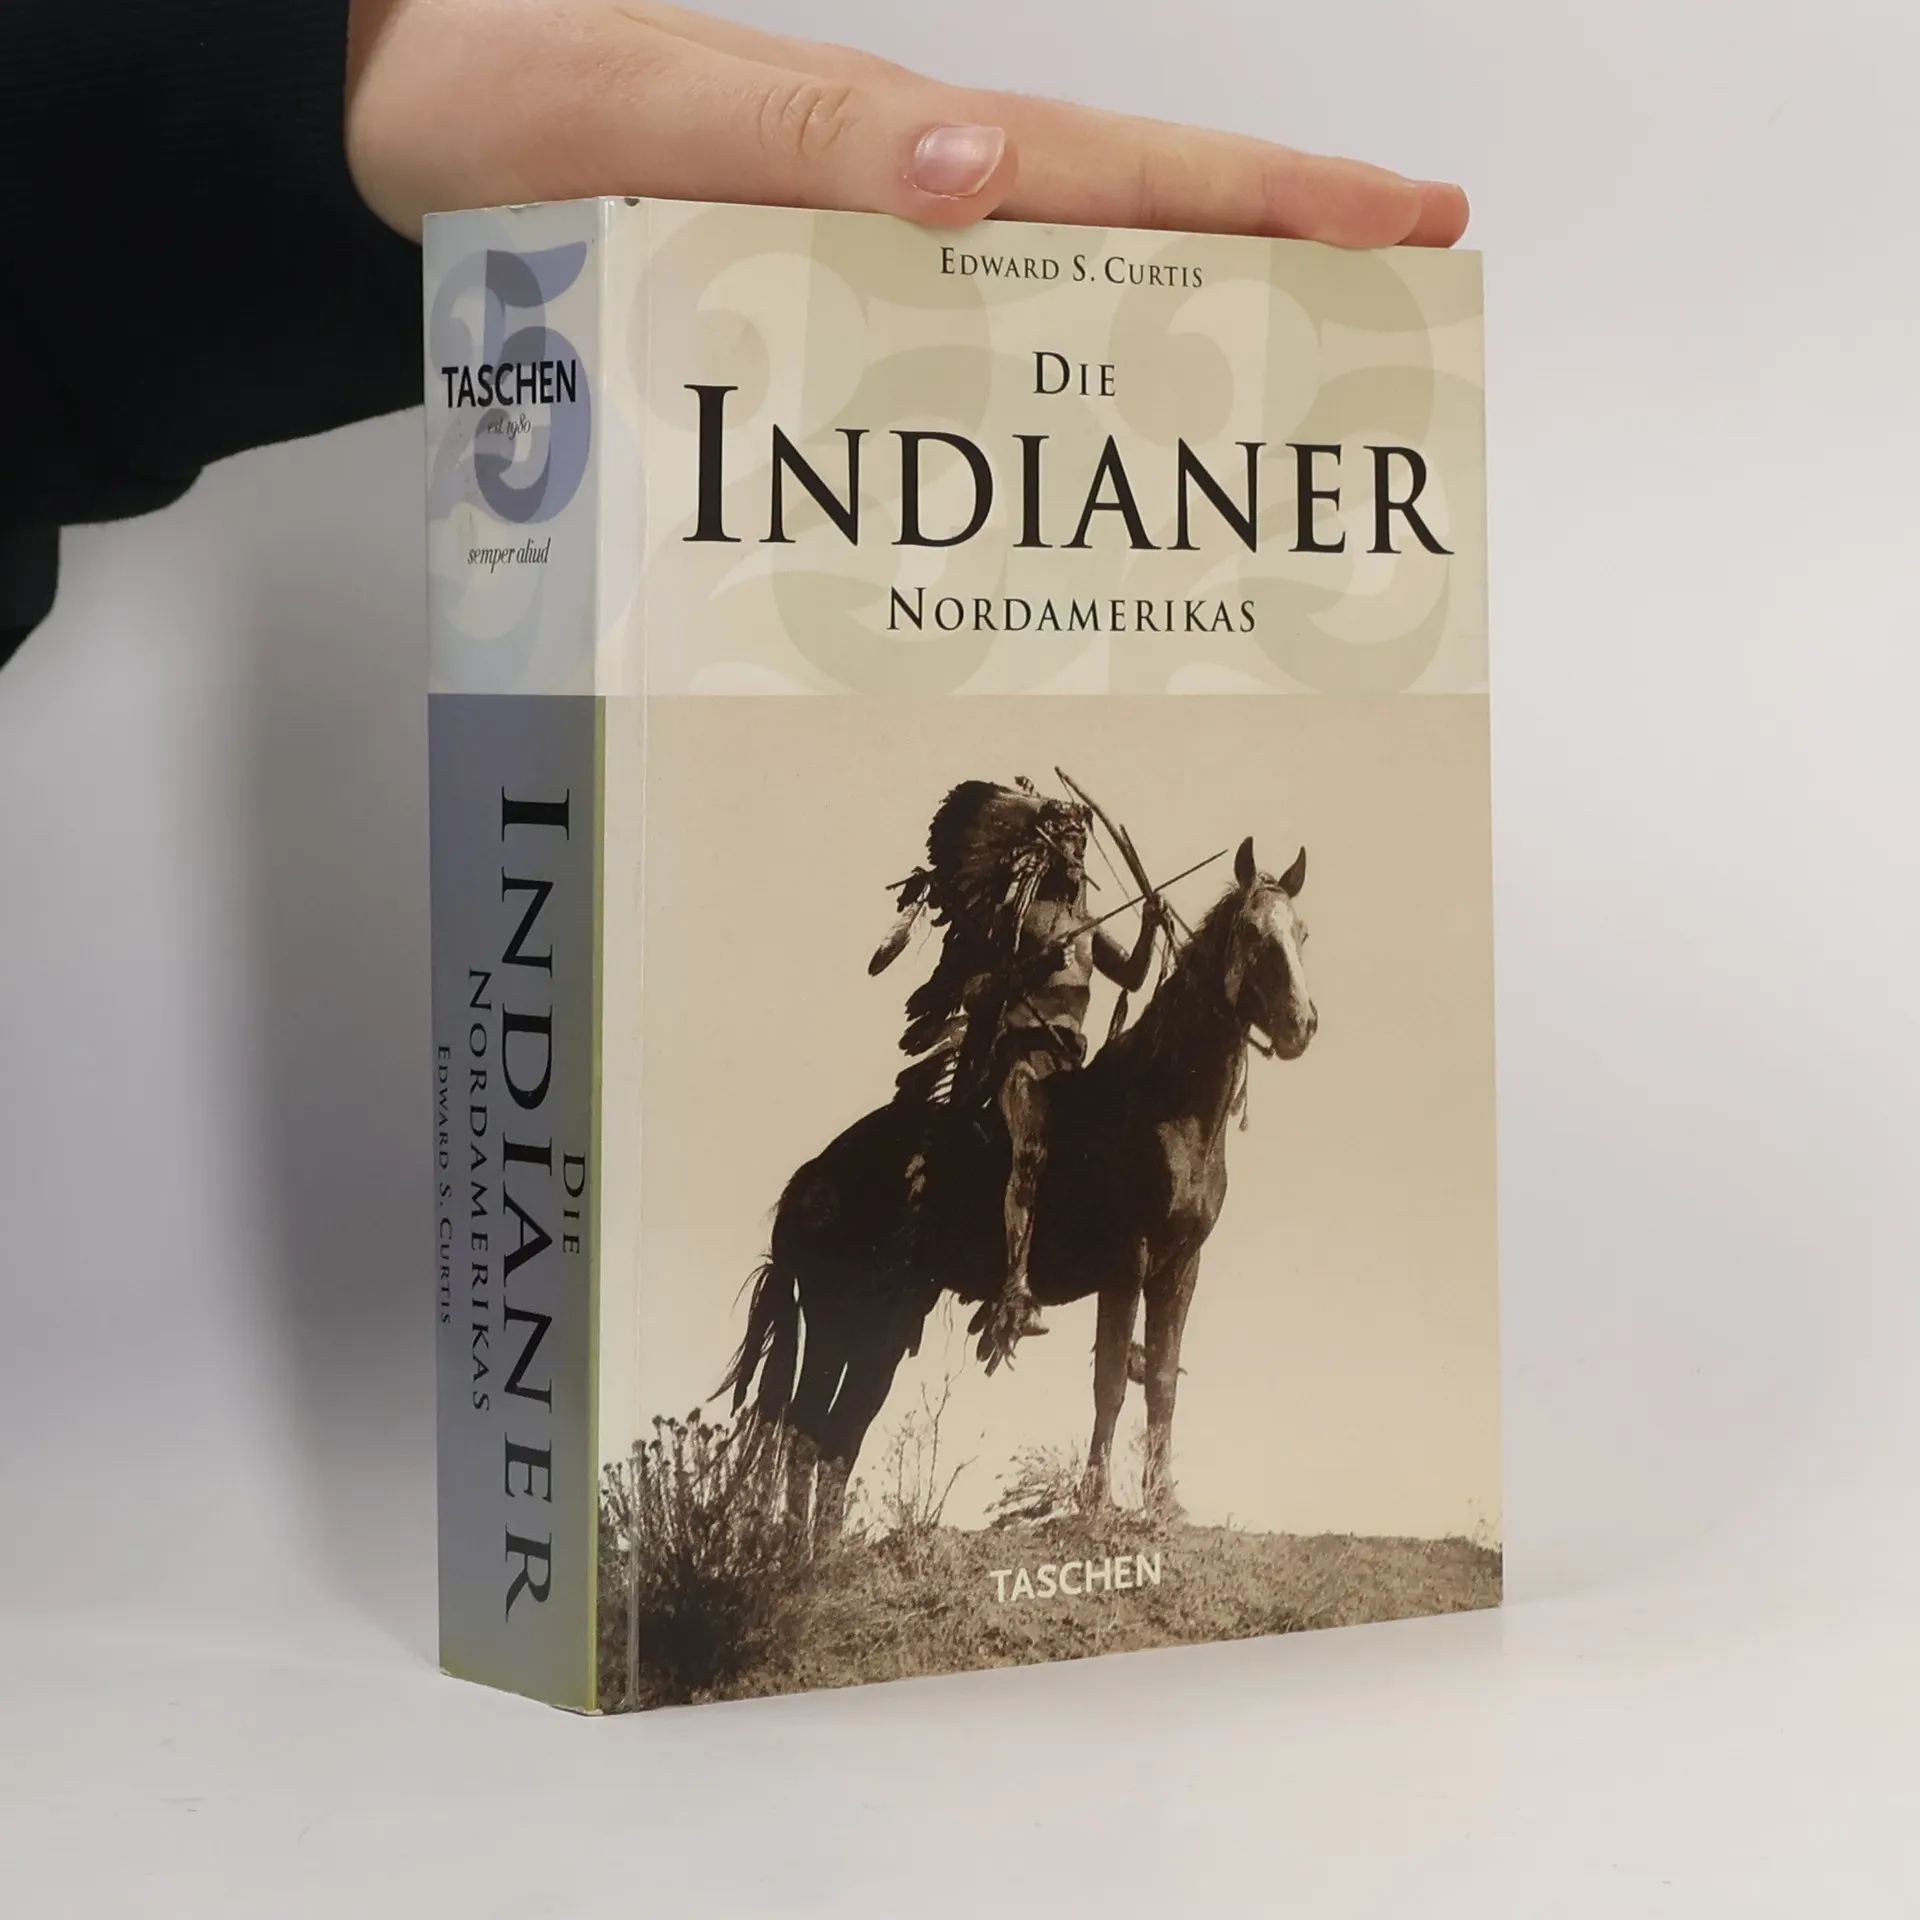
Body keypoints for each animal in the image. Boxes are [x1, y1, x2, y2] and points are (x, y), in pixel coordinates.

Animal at [720, 835, 1317, 1540]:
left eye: (1300, 932)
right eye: (1251, 932)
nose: (1301, 1024)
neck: (1162, 1101)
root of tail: (811, 1178)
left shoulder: (1179, 1266)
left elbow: (1163, 1381)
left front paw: (1163, 1502)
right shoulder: (1127, 1262)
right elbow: (1111, 1380)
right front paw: (1096, 1499)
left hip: (887, 1325)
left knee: (839, 1431)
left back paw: (827, 1546)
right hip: (838, 1315)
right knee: (807, 1426)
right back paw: (795, 1547)